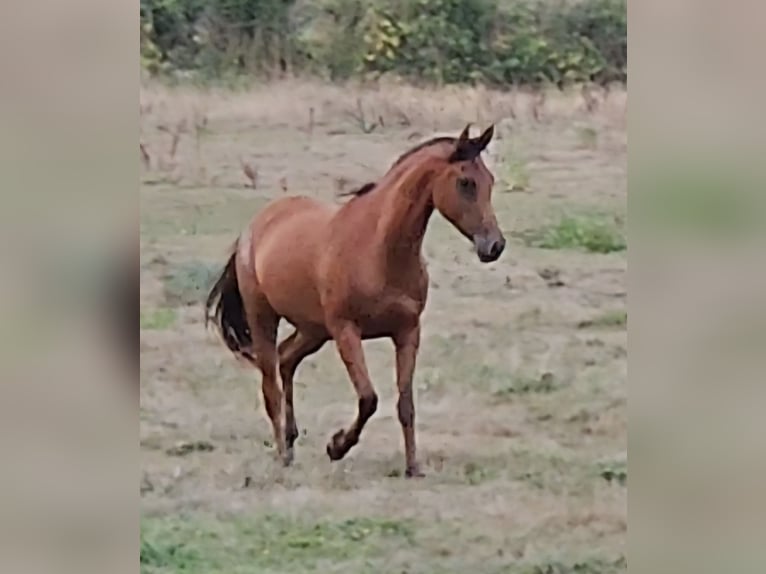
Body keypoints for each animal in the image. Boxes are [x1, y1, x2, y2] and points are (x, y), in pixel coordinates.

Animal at [205, 124, 505, 477]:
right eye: (465, 182)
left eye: (490, 180)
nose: (494, 246)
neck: (379, 249)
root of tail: (255, 226)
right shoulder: (346, 331)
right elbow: (368, 398)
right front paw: (336, 446)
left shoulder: (407, 332)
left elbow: (406, 403)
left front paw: (413, 467)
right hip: (265, 318)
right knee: (270, 385)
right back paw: (283, 454)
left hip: (313, 330)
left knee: (287, 359)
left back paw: (291, 440)